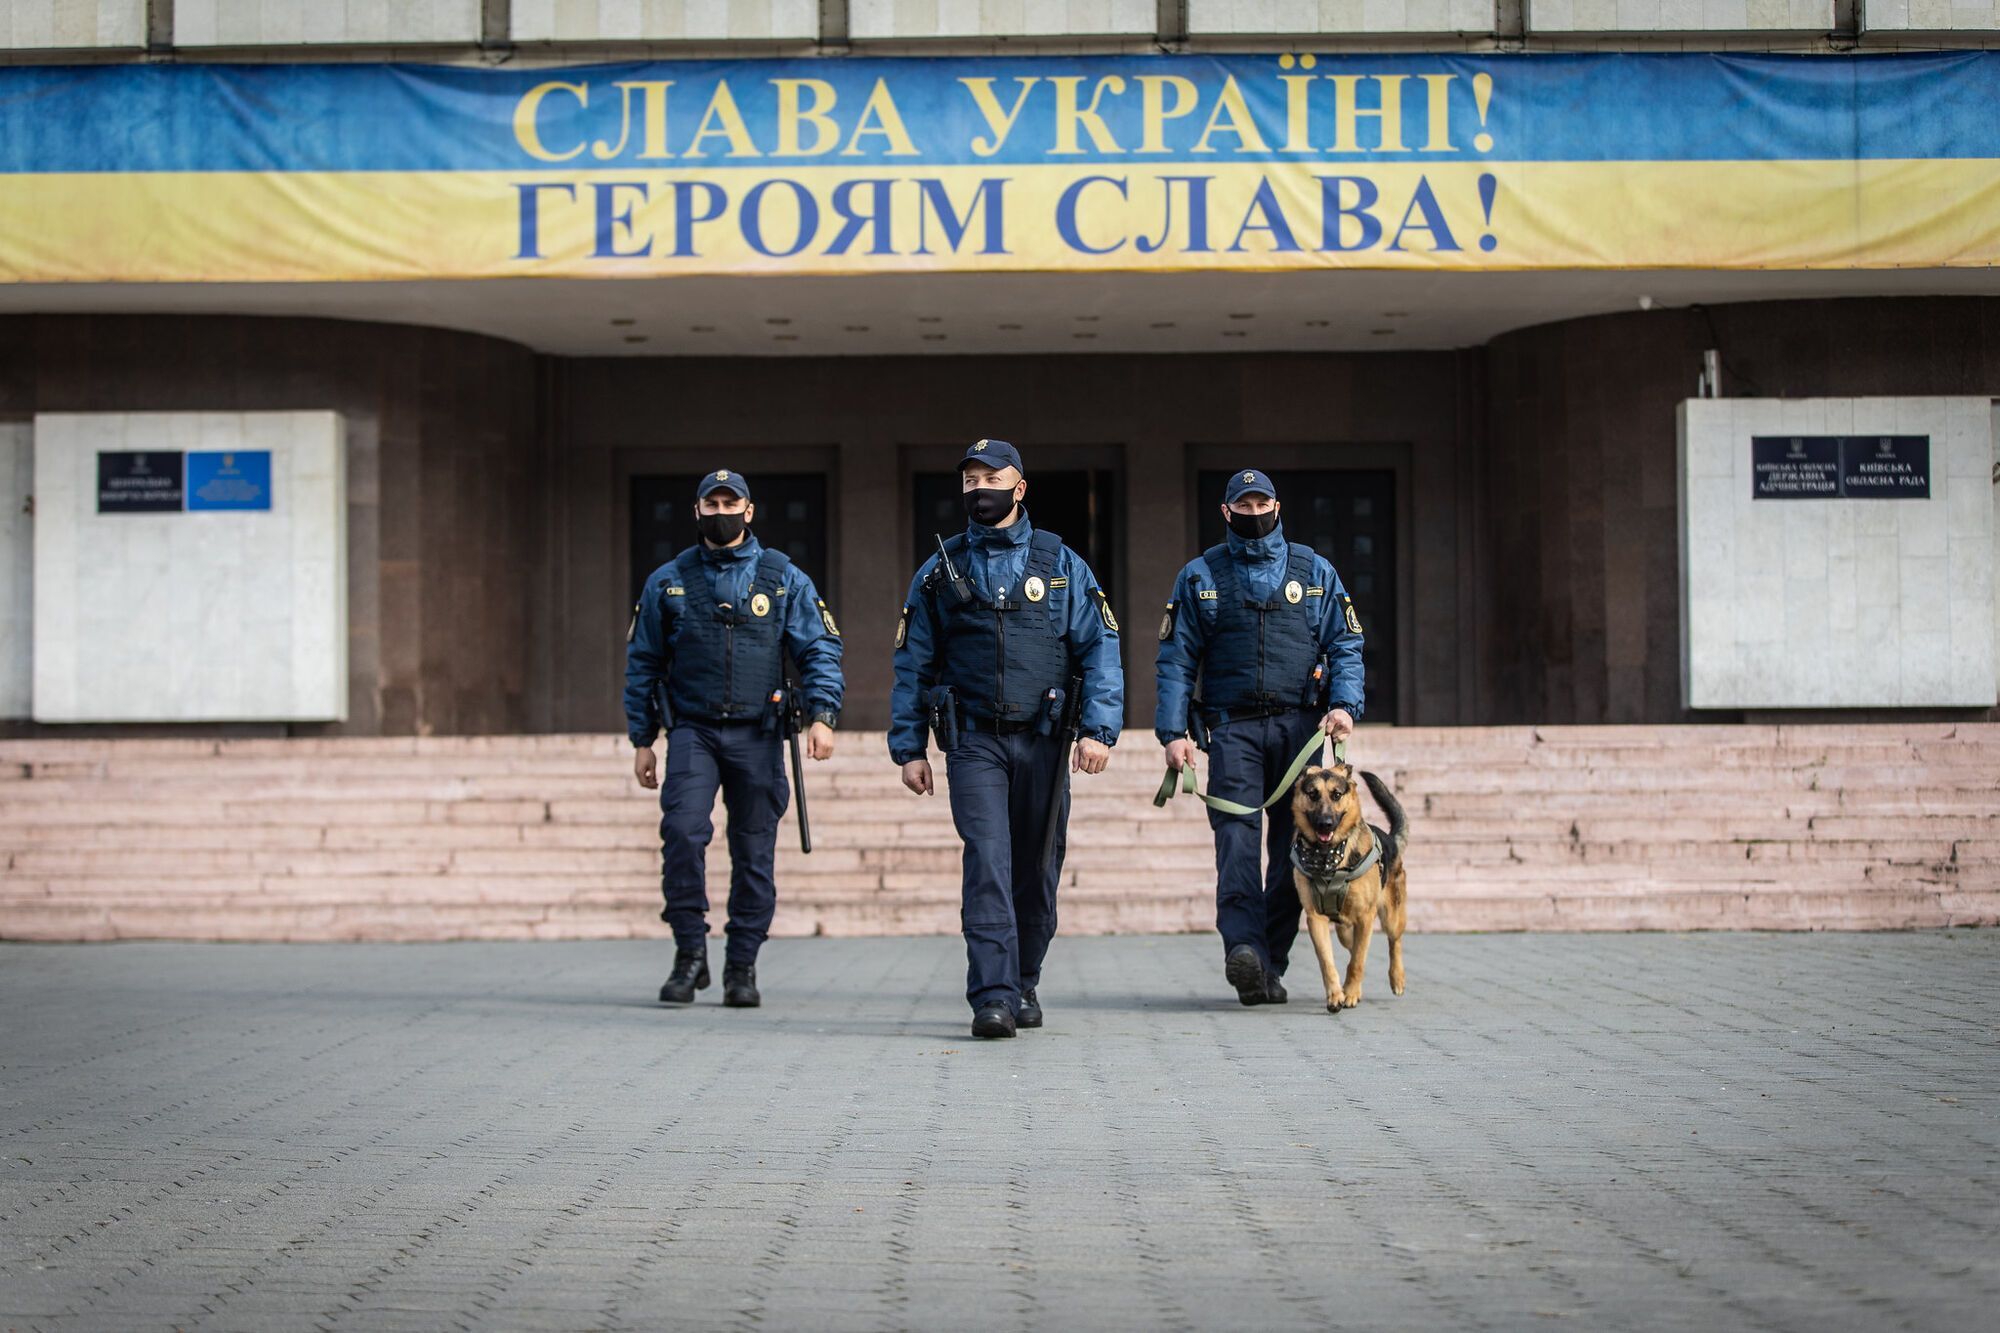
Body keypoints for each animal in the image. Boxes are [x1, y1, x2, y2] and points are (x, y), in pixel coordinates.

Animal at [1288, 764, 1416, 1012]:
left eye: (1336, 795)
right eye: (1313, 794)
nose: (1325, 824)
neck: (1328, 857)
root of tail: (1391, 840)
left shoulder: (1366, 917)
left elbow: (1357, 962)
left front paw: (1351, 994)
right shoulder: (1315, 918)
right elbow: (1327, 961)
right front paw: (1336, 995)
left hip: (1391, 918)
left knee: (1393, 941)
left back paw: (1397, 978)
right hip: (1344, 931)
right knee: (1352, 947)